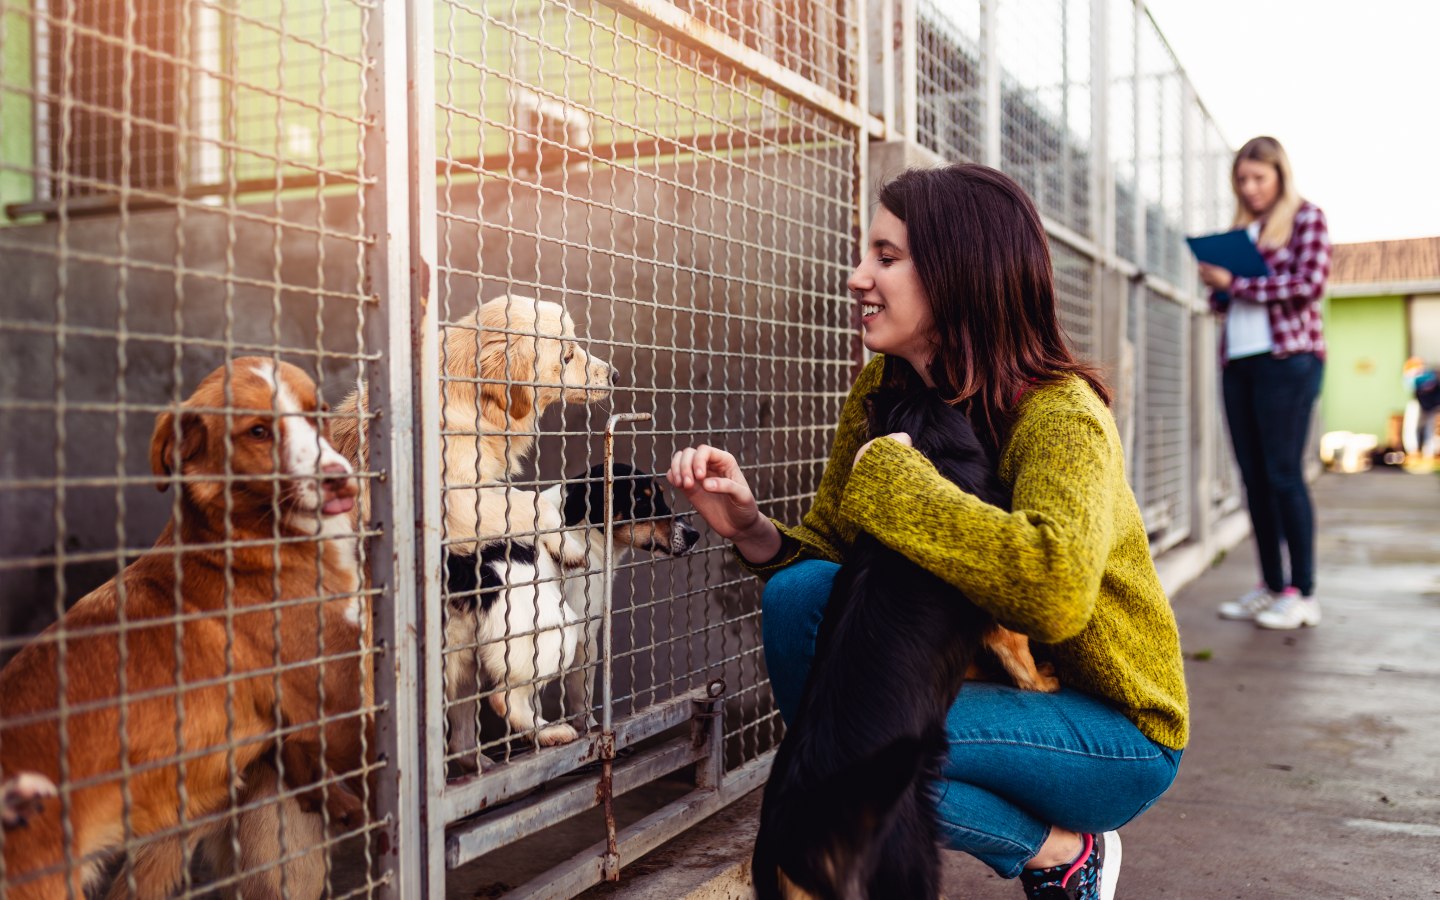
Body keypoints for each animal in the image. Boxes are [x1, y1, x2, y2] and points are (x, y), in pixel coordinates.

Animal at [748, 385, 1054, 898]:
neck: (931, 446)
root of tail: (799, 834)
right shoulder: (997, 613)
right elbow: (1021, 654)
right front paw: (1045, 683)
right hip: (910, 851)